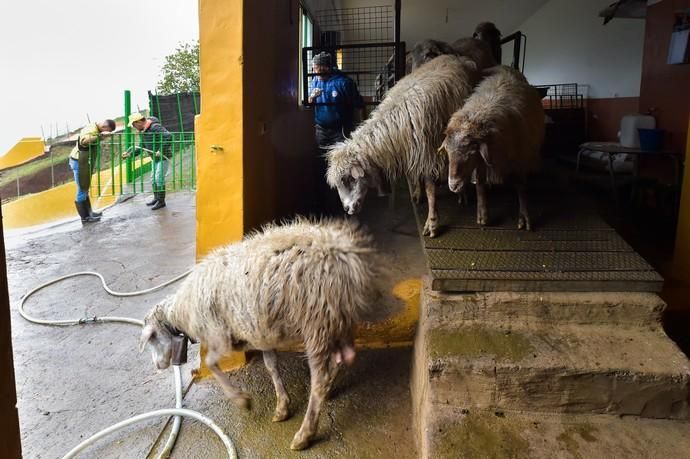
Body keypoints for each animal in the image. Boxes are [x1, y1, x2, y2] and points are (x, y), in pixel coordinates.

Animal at [138, 218, 392, 450]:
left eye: (152, 339)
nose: (158, 365)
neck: (181, 311)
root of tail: (345, 255)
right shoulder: (259, 332)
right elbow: (271, 365)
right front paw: (282, 405)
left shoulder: (219, 335)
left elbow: (211, 362)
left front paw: (242, 400)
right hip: (336, 317)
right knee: (344, 357)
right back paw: (328, 391)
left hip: (316, 320)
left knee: (320, 377)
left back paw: (305, 434)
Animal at [324, 54, 478, 237]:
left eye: (348, 179)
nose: (347, 209)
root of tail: (457, 57)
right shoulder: (413, 151)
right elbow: (416, 175)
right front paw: (418, 193)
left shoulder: (428, 152)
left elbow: (430, 188)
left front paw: (432, 222)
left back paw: (462, 193)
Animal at [440, 64, 544, 230]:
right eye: (448, 153)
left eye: (470, 153)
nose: (453, 186)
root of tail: (505, 67)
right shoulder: (482, 160)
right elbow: (480, 184)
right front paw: (483, 215)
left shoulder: (520, 158)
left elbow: (521, 186)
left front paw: (524, 218)